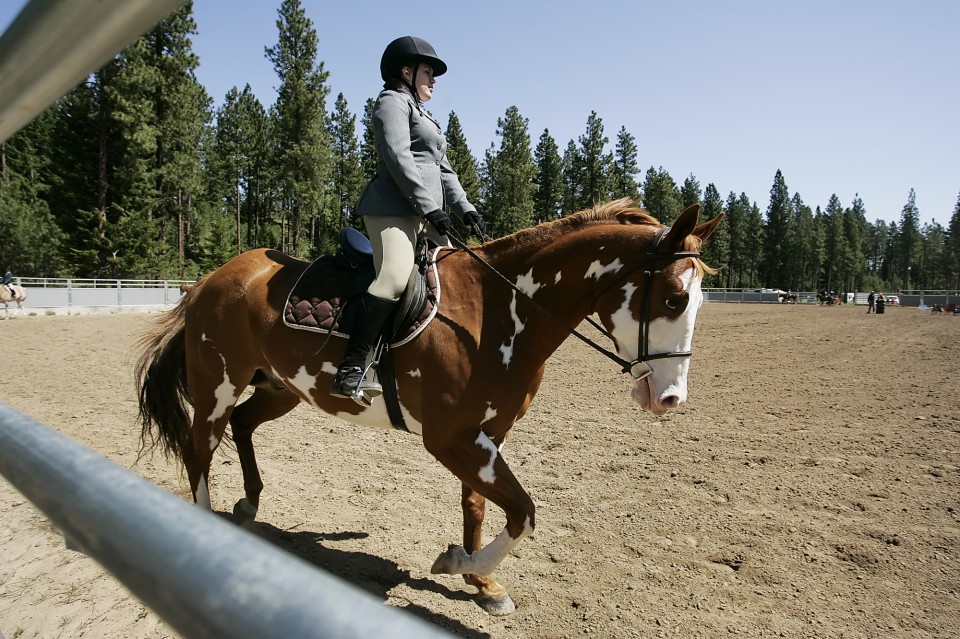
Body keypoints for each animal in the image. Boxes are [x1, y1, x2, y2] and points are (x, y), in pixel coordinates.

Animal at [135, 199, 722, 615]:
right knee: (200, 449)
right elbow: (524, 512)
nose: (669, 398)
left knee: (243, 426)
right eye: (673, 298)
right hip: (216, 386)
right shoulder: (450, 439)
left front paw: (482, 583)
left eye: (698, 300)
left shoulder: (487, 435)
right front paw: (457, 562)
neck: (497, 310)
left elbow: (482, 506)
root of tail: (209, 279)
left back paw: (250, 504)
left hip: (280, 389)